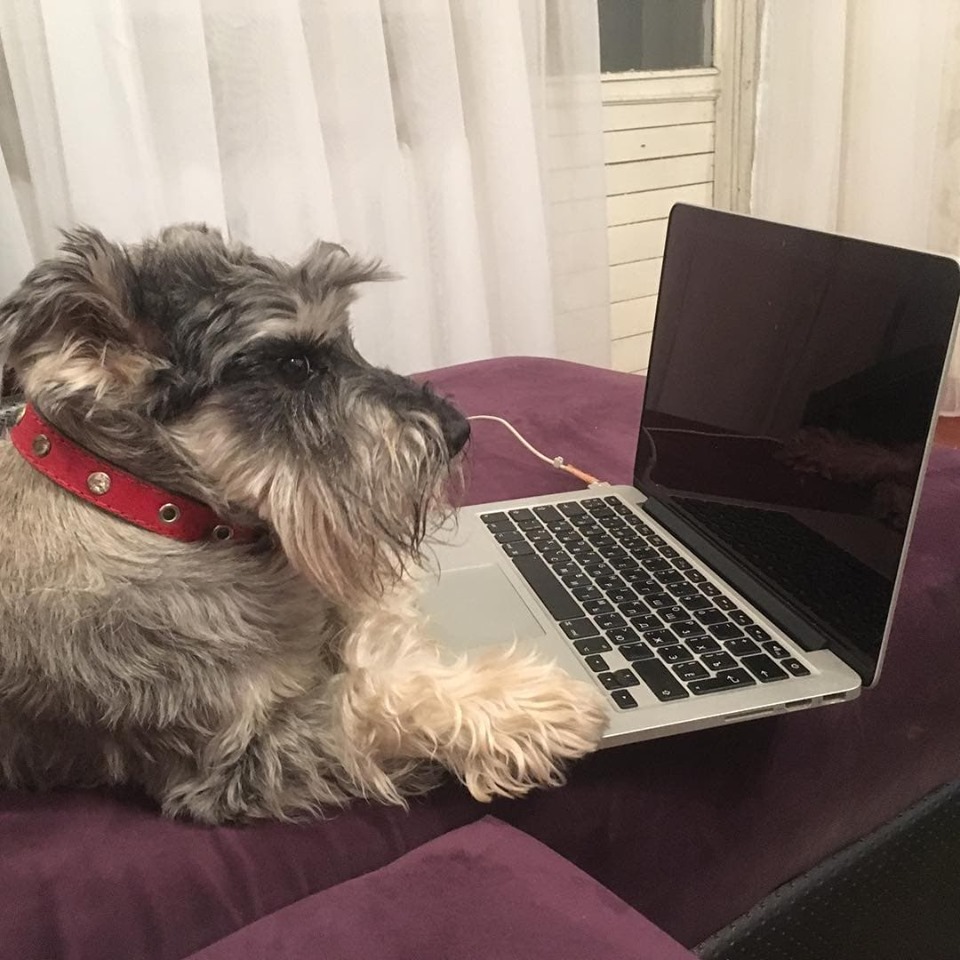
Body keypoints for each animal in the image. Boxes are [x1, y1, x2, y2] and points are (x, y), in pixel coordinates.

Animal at [0, 227, 608, 824]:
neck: (155, 509)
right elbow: (370, 702)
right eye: (294, 366)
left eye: (347, 342)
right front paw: (532, 704)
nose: (458, 430)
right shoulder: (238, 755)